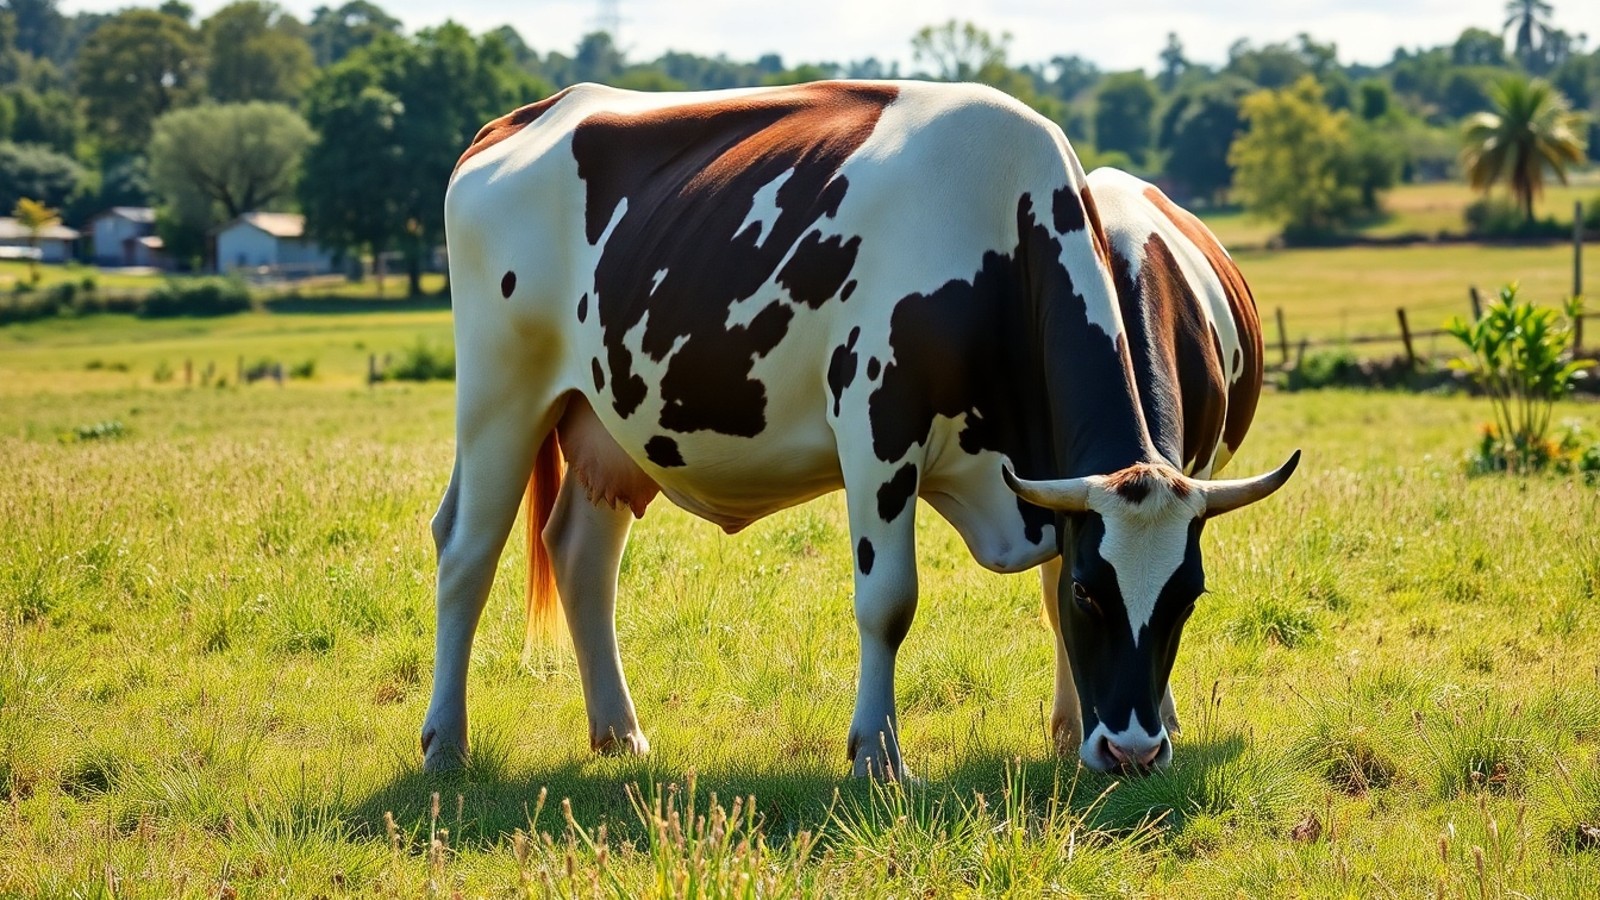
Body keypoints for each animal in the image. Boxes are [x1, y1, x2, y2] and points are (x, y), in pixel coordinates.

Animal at [421, 80, 1298, 779]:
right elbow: (890, 601)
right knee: (467, 548)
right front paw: (878, 756)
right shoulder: (879, 429)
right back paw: (446, 744)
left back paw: (618, 734)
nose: (1135, 752)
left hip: (610, 427)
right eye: (1094, 591)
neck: (996, 233)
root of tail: (528, 115)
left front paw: (1078, 730)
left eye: (1188, 594)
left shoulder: (1052, 487)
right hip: (501, 391)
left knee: (581, 556)